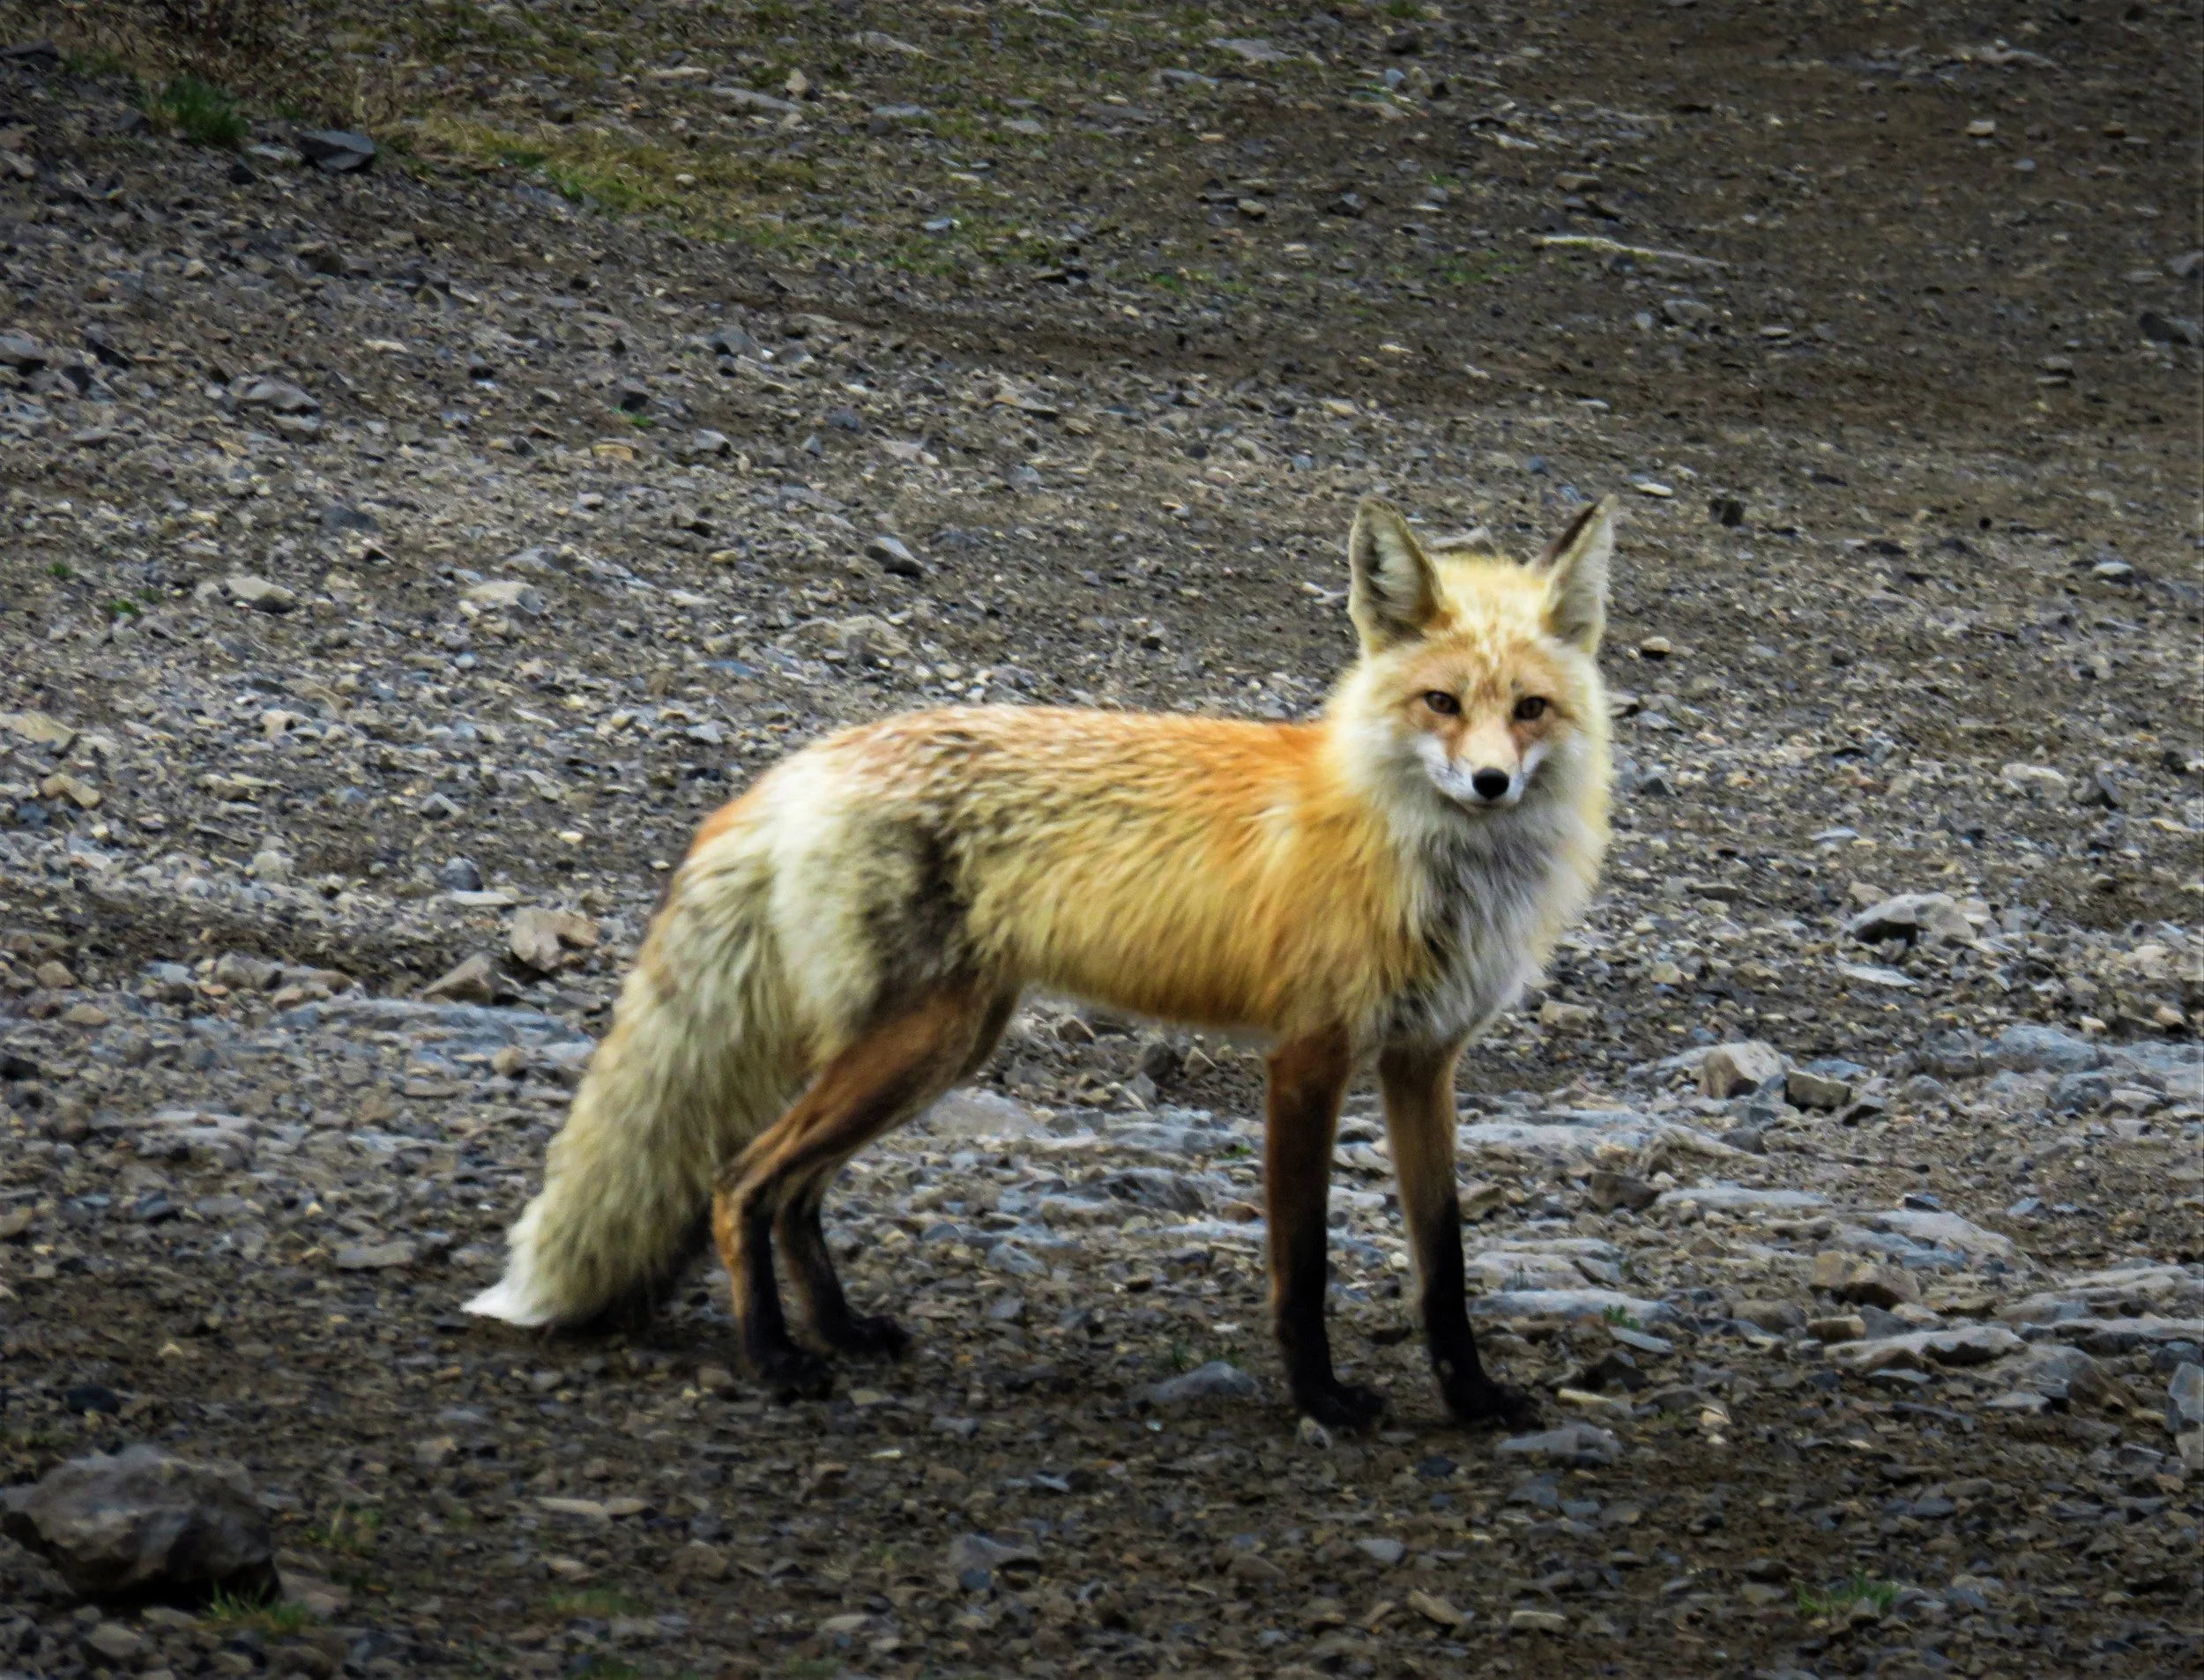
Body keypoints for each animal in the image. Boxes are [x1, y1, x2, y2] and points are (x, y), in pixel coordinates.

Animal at [468, 494, 1616, 1429]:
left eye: (1528, 709)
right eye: (1439, 704)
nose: (1489, 783)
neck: (1427, 865)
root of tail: (801, 765)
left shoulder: (1425, 1059)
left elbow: (1445, 1263)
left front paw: (1471, 1399)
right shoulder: (1309, 1054)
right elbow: (1303, 1263)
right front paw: (1322, 1400)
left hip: (939, 1047)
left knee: (794, 1193)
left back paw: (840, 1332)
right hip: (914, 1041)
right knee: (742, 1179)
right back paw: (776, 1360)